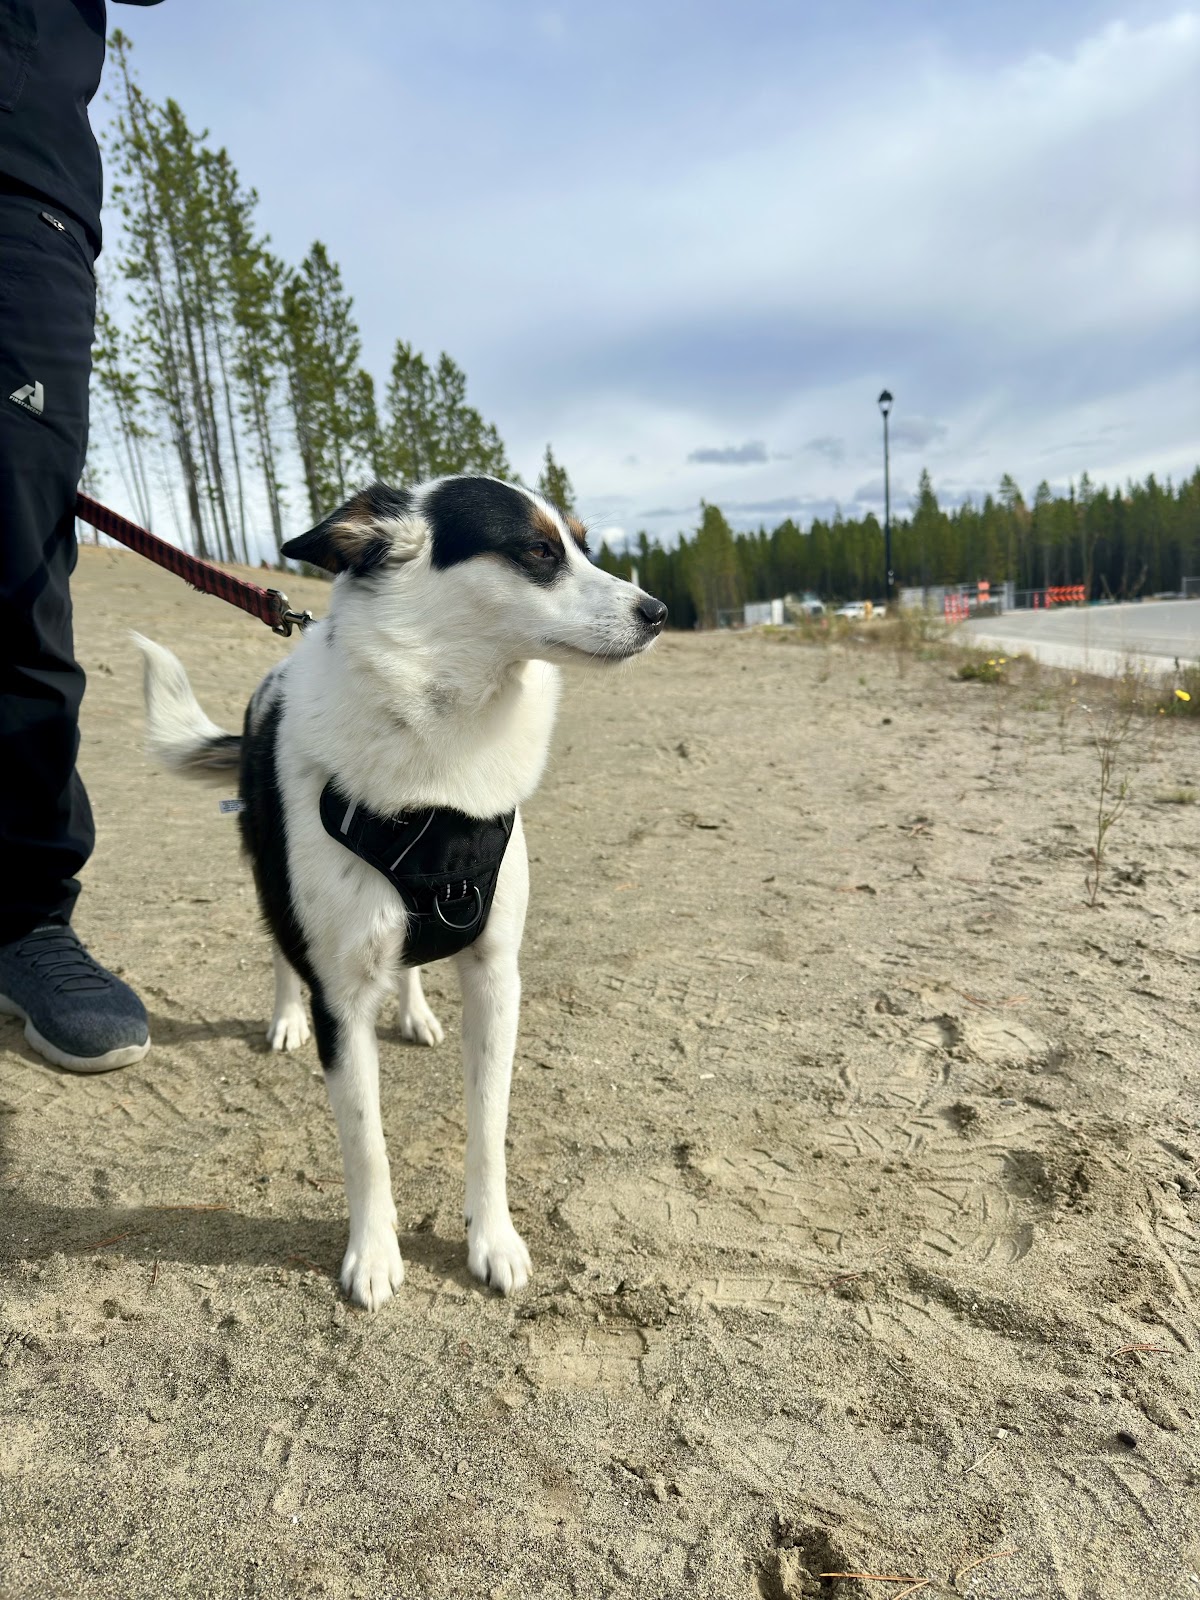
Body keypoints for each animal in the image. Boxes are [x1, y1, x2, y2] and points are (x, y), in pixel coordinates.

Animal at [136, 475, 666, 1310]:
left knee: (412, 961)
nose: (658, 612)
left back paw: (414, 1012)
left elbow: (488, 1127)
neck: (440, 753)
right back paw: (283, 1018)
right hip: (267, 871)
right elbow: (366, 1144)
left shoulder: (495, 975)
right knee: (281, 952)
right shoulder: (341, 997)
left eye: (584, 543)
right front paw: (374, 1255)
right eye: (537, 550)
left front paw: (493, 1240)